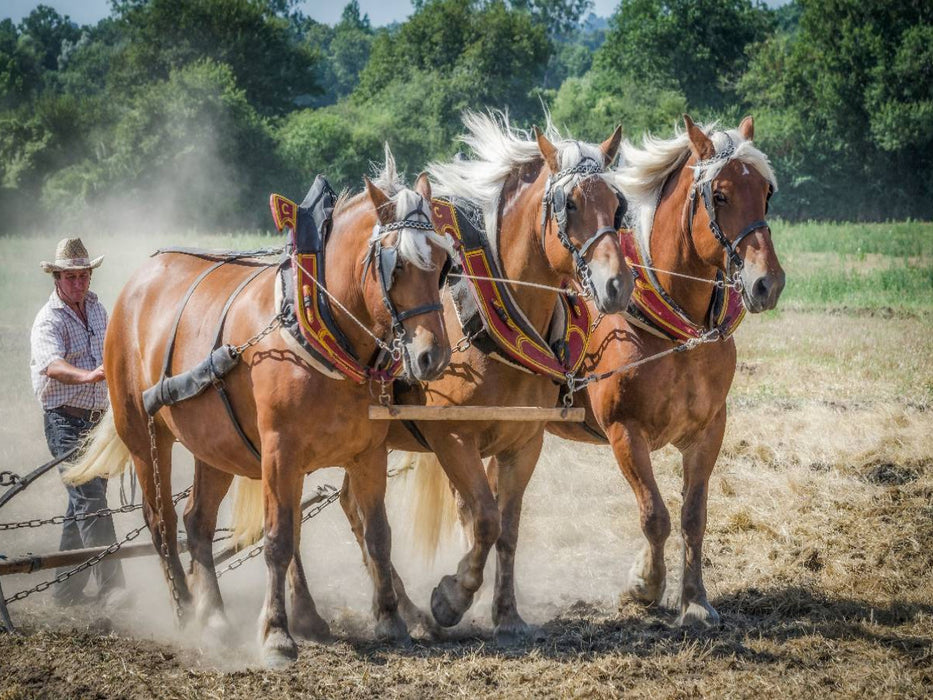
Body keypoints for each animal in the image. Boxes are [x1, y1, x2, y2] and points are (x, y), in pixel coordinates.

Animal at [66, 155, 455, 667]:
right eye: (397, 264)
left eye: (443, 263)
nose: (433, 356)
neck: (320, 326)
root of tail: (139, 280)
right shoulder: (279, 451)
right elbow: (276, 539)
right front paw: (276, 634)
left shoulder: (368, 452)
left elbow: (377, 535)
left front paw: (390, 620)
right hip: (143, 434)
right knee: (162, 523)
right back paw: (186, 612)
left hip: (216, 445)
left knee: (197, 521)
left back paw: (217, 616)